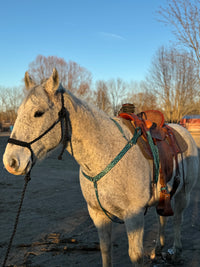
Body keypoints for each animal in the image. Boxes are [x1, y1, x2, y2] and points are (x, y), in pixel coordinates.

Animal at [3, 69, 198, 267]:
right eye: (18, 112)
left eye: (38, 113)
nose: (11, 161)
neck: (105, 155)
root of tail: (181, 130)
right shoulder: (97, 214)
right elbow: (105, 249)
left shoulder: (134, 215)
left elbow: (136, 256)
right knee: (162, 218)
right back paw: (158, 248)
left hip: (184, 193)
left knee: (178, 219)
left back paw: (176, 251)